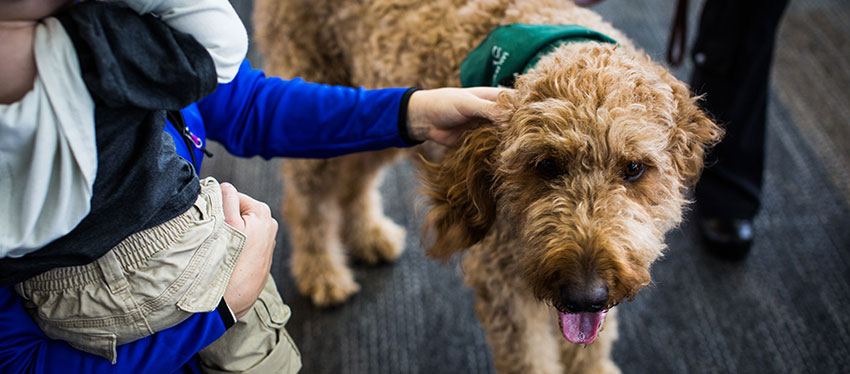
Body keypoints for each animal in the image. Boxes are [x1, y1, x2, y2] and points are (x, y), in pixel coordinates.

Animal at [255, 1, 720, 372]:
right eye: (546, 165)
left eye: (634, 168)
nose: (584, 295)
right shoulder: (504, 288)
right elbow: (530, 360)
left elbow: (590, 349)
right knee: (307, 203)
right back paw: (322, 272)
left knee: (355, 179)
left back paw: (368, 234)